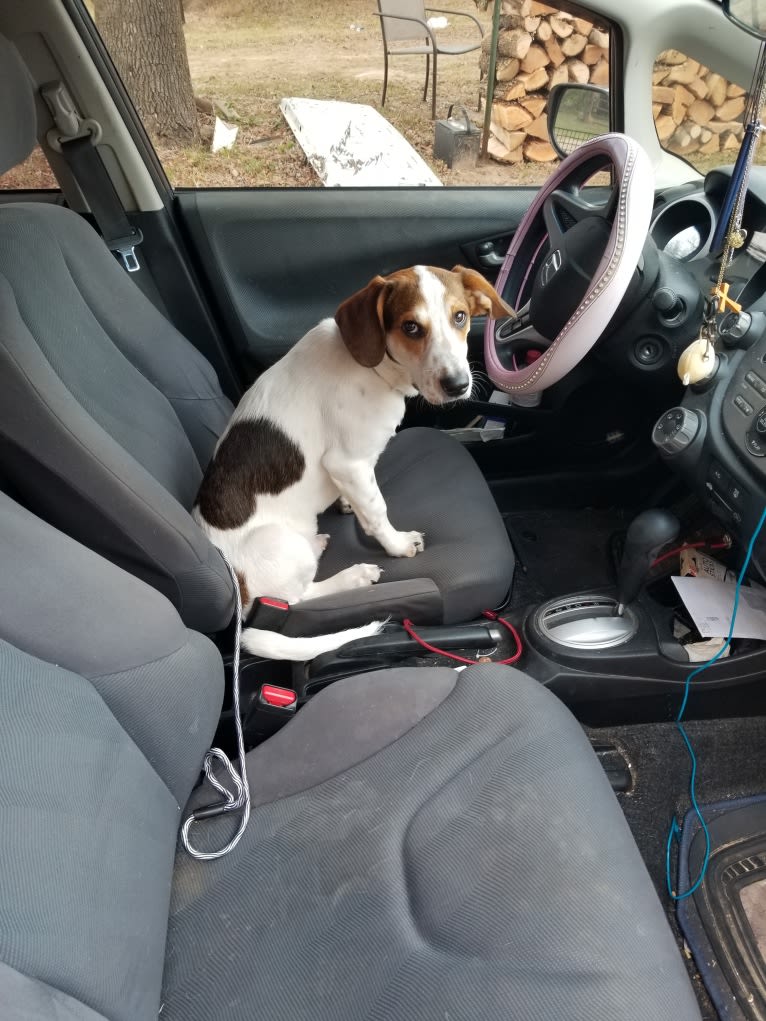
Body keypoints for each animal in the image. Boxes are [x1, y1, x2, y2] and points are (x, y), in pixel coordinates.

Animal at [193, 265, 516, 661]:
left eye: (460, 317)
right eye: (411, 327)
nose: (458, 385)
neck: (373, 368)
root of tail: (238, 603)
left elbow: (361, 502)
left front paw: (347, 504)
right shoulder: (349, 463)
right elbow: (377, 510)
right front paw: (397, 545)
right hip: (280, 545)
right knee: (294, 599)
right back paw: (354, 575)